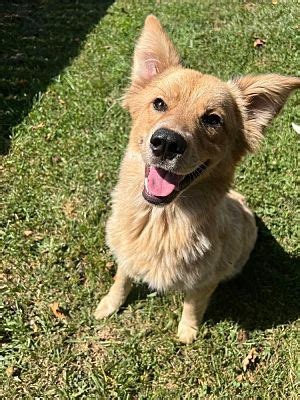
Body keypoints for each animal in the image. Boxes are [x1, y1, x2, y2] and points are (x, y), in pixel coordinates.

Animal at [95, 15, 300, 344]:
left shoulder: (204, 281)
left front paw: (187, 333)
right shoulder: (125, 254)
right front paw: (109, 305)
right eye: (159, 103)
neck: (160, 222)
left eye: (213, 119)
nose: (166, 142)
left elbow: (193, 305)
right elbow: (121, 279)